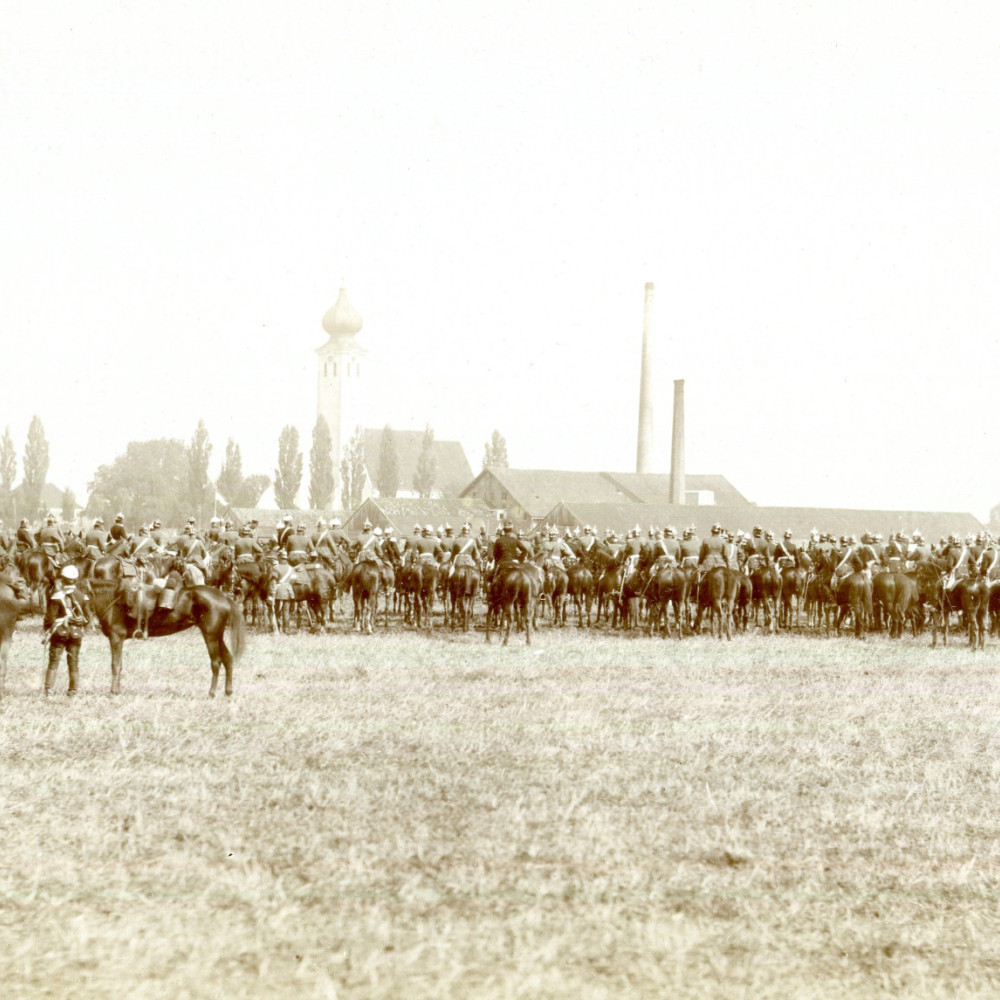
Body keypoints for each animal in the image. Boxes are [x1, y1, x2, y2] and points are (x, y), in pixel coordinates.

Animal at [89, 556, 246, 696]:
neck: (115, 598)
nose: (236, 590)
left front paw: (114, 691)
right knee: (228, 660)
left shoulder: (116, 638)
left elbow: (116, 665)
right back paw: (228, 692)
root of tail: (224, 598)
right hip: (218, 636)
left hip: (211, 636)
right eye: (233, 576)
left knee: (216, 662)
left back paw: (212, 692)